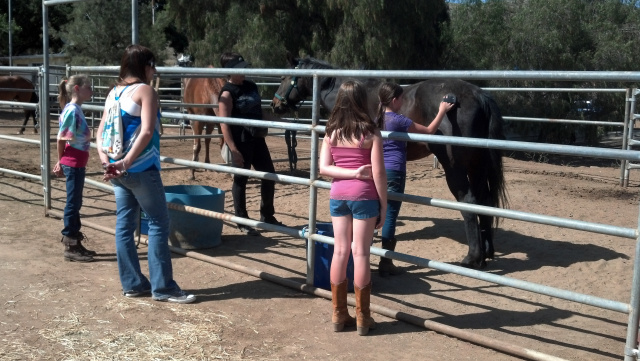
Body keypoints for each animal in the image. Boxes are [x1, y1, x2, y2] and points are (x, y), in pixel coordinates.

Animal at [272, 53, 510, 268]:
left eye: (283, 77)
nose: (275, 104)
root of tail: (478, 95)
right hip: (478, 165)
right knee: (485, 201)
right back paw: (487, 253)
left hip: (456, 167)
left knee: (469, 201)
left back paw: (473, 258)